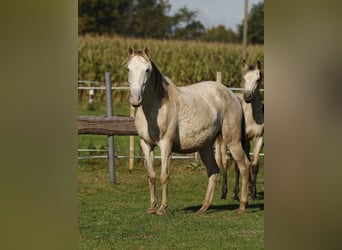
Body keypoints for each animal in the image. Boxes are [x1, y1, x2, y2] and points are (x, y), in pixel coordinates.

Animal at [127, 47, 250, 215]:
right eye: (128, 69)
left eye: (147, 70)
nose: (135, 99)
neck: (155, 108)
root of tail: (233, 96)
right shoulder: (146, 144)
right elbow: (151, 175)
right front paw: (152, 207)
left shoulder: (166, 145)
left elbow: (164, 176)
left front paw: (162, 208)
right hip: (205, 146)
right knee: (213, 171)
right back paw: (204, 208)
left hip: (233, 142)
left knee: (244, 167)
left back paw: (242, 205)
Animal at [216, 59, 264, 201]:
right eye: (244, 78)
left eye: (258, 79)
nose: (247, 97)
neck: (251, 117)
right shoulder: (243, 140)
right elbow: (238, 166)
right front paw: (237, 194)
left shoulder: (258, 139)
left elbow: (254, 166)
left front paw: (253, 192)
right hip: (224, 141)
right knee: (225, 163)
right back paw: (225, 192)